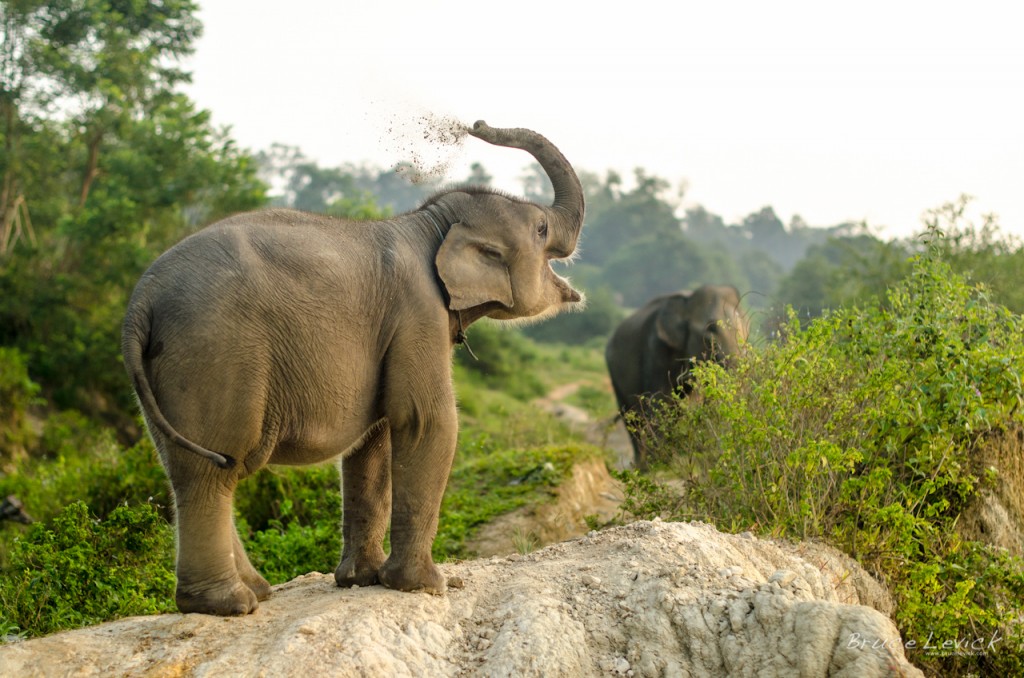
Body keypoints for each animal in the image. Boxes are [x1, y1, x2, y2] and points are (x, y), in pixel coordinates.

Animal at [119, 119, 585, 618]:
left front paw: (362, 580)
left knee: (188, 470)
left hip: (167, 371)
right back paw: (232, 604)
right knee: (214, 470)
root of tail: (141, 299)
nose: (475, 125)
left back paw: (253, 592)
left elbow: (373, 443)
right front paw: (428, 586)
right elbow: (426, 422)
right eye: (541, 228)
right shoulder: (418, 311)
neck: (429, 223)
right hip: (214, 353)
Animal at [602, 284, 749, 471]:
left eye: (746, 328)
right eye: (711, 330)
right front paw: (658, 465)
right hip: (614, 373)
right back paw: (641, 466)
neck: (687, 302)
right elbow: (660, 401)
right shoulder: (656, 349)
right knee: (631, 418)